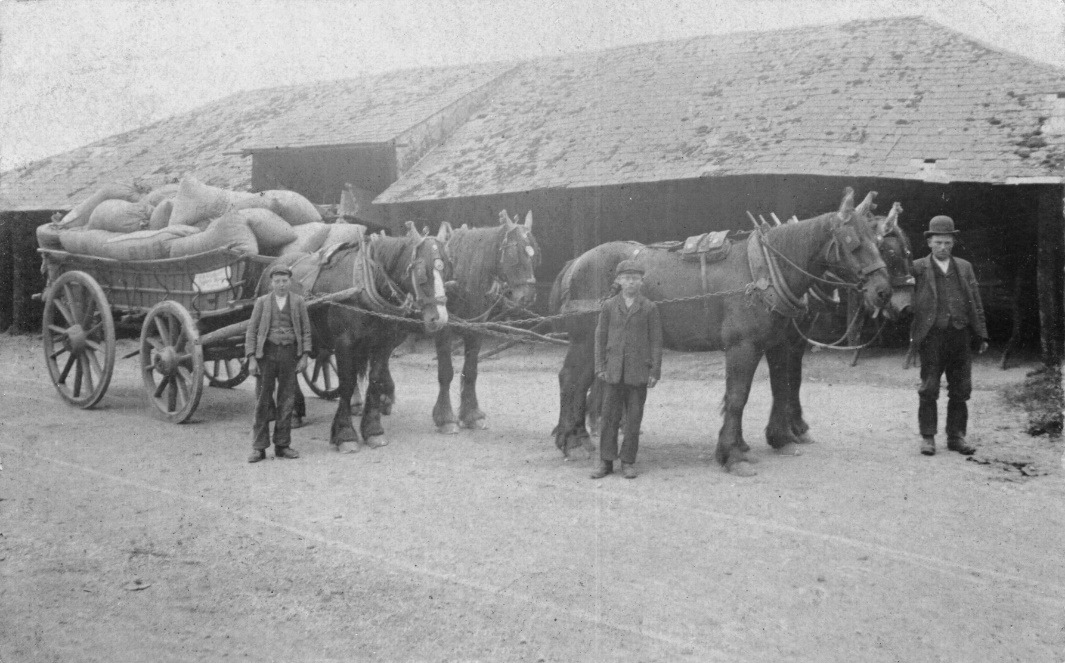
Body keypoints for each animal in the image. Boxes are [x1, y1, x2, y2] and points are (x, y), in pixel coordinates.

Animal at [310, 220, 455, 453]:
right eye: (422, 272)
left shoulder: (383, 341)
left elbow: (376, 379)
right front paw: (345, 433)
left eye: (447, 269)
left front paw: (373, 430)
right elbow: (347, 383)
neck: (365, 283)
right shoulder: (344, 342)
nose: (439, 318)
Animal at [428, 209, 536, 434]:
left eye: (534, 254)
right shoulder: (443, 330)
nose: (528, 296)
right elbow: (446, 372)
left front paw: (472, 415)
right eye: (513, 253)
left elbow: (471, 372)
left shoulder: (476, 329)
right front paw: (445, 418)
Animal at [549, 187, 890, 476]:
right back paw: (572, 441)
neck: (766, 270)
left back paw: (577, 437)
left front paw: (779, 437)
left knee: (579, 382)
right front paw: (732, 454)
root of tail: (577, 262)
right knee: (572, 380)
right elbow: (738, 397)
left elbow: (783, 387)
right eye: (853, 242)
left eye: (878, 241)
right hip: (586, 340)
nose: (883, 291)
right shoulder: (743, 346)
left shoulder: (778, 343)